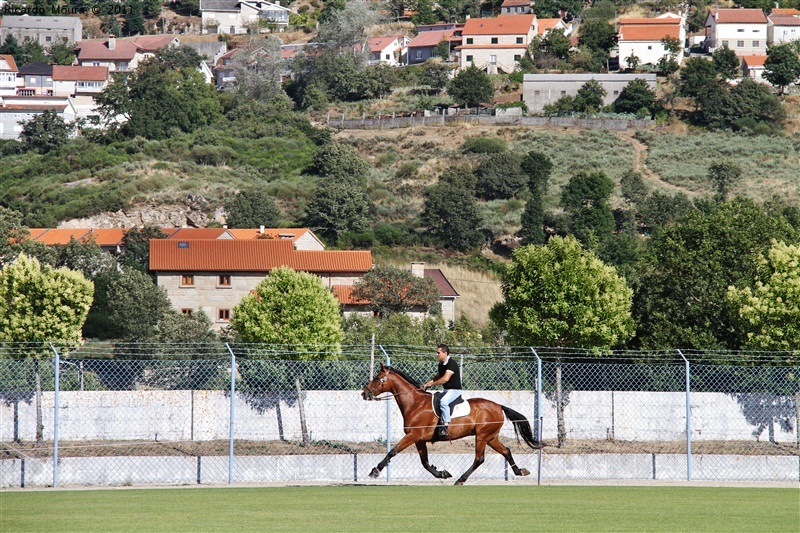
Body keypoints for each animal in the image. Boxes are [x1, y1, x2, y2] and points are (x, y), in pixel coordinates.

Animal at [364, 364, 544, 484]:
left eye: (377, 378)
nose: (364, 393)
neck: (415, 403)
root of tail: (499, 406)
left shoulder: (413, 435)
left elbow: (392, 451)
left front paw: (375, 471)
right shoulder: (419, 439)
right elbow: (425, 462)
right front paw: (442, 473)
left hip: (482, 436)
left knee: (479, 459)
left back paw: (461, 479)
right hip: (491, 437)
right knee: (506, 451)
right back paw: (520, 471)